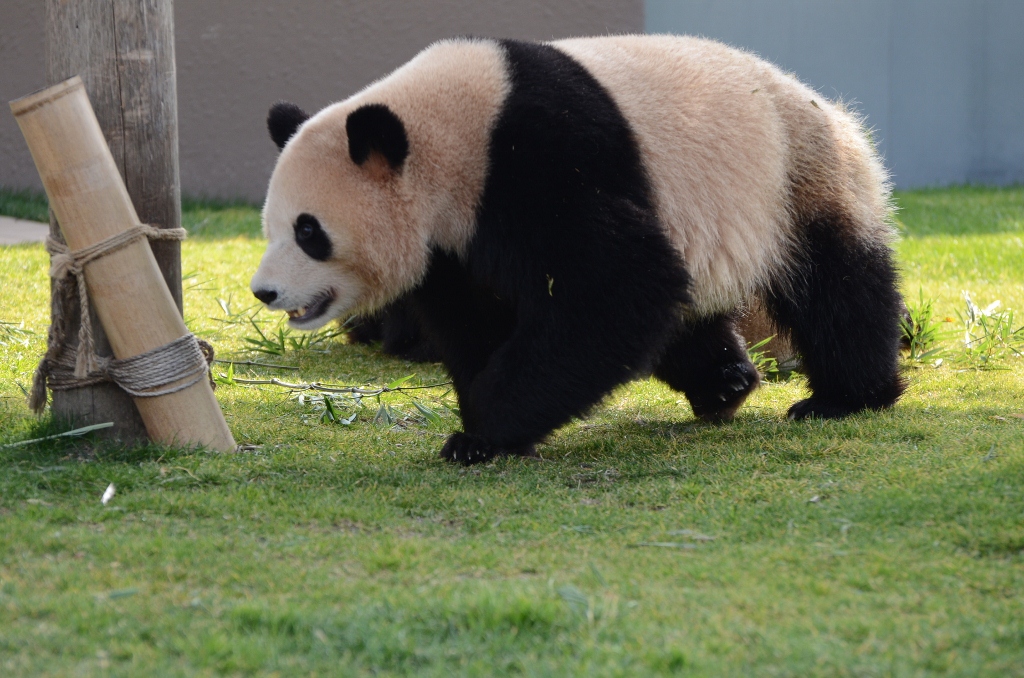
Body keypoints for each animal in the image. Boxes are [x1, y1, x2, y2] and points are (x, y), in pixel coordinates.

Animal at [251, 34, 909, 464]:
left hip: (793, 176)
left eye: (308, 231)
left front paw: (483, 430)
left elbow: (616, 286)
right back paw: (726, 383)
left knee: (836, 283)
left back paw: (845, 397)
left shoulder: (540, 159)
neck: (443, 136)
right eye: (271, 227)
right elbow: (479, 317)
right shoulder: (453, 240)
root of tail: (829, 108)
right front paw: (486, 426)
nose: (264, 292)